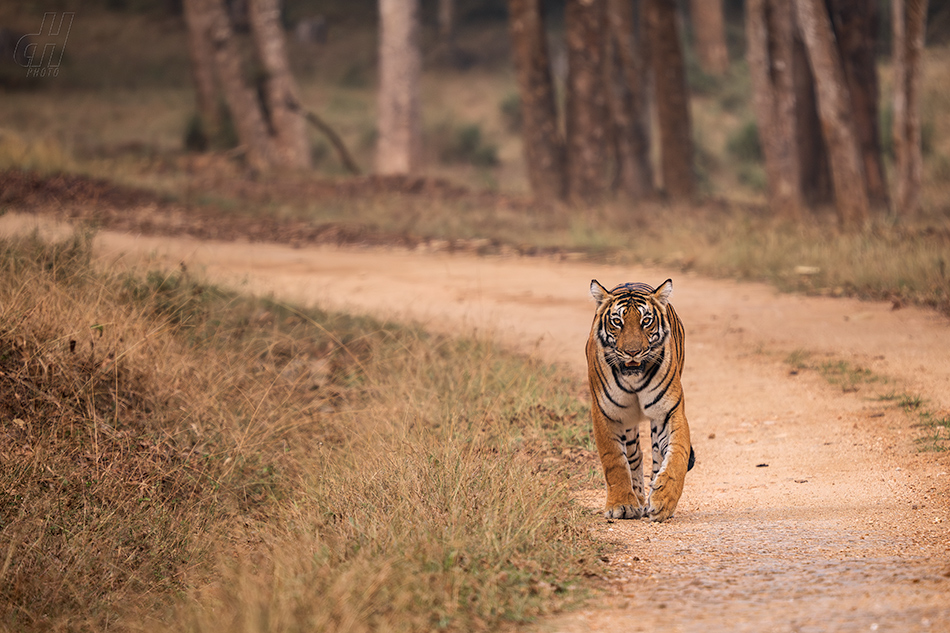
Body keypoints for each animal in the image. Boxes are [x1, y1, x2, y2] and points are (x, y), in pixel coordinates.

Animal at [584, 278, 696, 520]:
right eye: (617, 321)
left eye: (646, 321)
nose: (633, 352)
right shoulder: (606, 414)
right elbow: (614, 460)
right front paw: (621, 504)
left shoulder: (668, 412)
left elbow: (677, 454)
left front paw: (664, 500)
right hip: (626, 422)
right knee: (634, 455)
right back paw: (636, 499)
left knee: (655, 453)